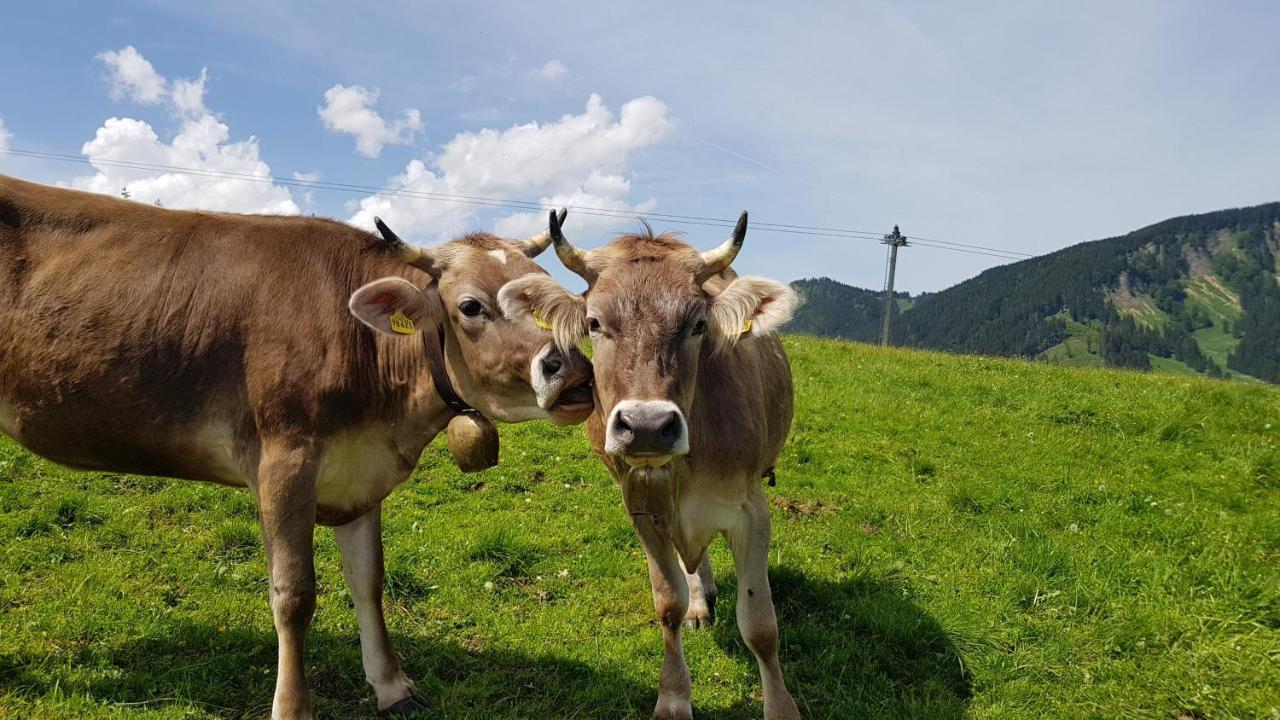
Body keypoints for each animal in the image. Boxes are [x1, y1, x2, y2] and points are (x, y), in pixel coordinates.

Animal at [0, 175, 588, 717]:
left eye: (549, 292)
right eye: (470, 306)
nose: (575, 371)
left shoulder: (359, 471)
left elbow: (369, 580)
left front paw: (391, 686)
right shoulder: (284, 462)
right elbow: (294, 594)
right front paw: (291, 706)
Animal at [499, 211, 798, 717]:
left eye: (698, 324)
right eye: (594, 323)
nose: (646, 426)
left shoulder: (751, 509)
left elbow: (760, 625)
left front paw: (781, 707)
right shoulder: (640, 503)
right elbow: (667, 603)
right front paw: (674, 697)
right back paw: (700, 599)